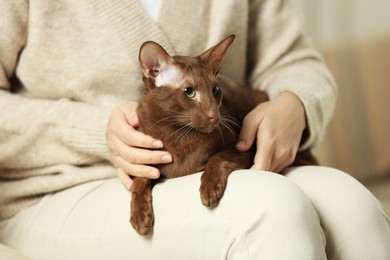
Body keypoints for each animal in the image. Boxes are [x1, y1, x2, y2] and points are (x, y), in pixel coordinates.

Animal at [130, 34, 316, 236]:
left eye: (215, 90)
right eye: (189, 92)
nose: (215, 116)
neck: (178, 135)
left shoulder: (246, 150)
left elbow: (219, 156)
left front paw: (209, 188)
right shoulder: (148, 160)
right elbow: (139, 180)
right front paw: (140, 217)